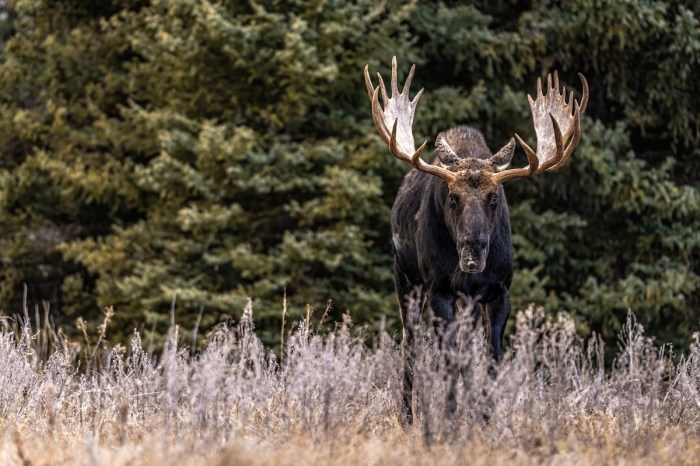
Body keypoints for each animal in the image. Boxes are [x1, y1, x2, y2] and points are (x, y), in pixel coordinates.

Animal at [364, 57, 588, 424]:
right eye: (452, 197)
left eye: (494, 198)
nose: (472, 253)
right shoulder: (439, 288)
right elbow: (450, 358)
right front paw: (451, 414)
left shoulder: (499, 290)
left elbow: (491, 358)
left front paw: (484, 417)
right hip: (407, 278)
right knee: (410, 344)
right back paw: (408, 416)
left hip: (465, 300)